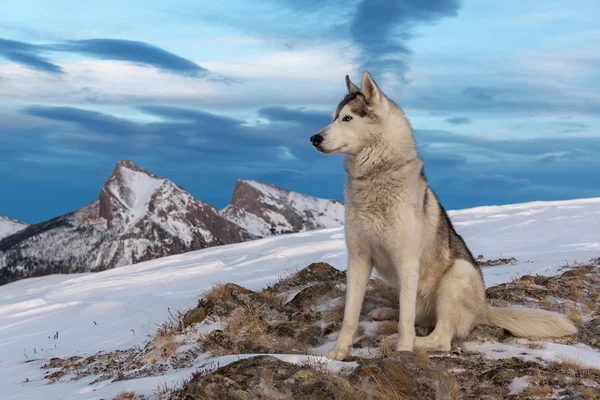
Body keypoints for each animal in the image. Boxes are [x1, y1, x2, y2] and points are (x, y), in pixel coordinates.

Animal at [312, 72, 576, 362]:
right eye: (333, 117)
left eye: (348, 118)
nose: (314, 138)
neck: (376, 176)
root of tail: (483, 309)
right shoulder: (359, 258)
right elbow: (350, 315)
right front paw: (339, 351)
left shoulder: (406, 260)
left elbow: (406, 322)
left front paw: (403, 350)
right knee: (418, 316)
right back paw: (386, 313)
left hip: (457, 274)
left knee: (439, 337)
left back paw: (401, 341)